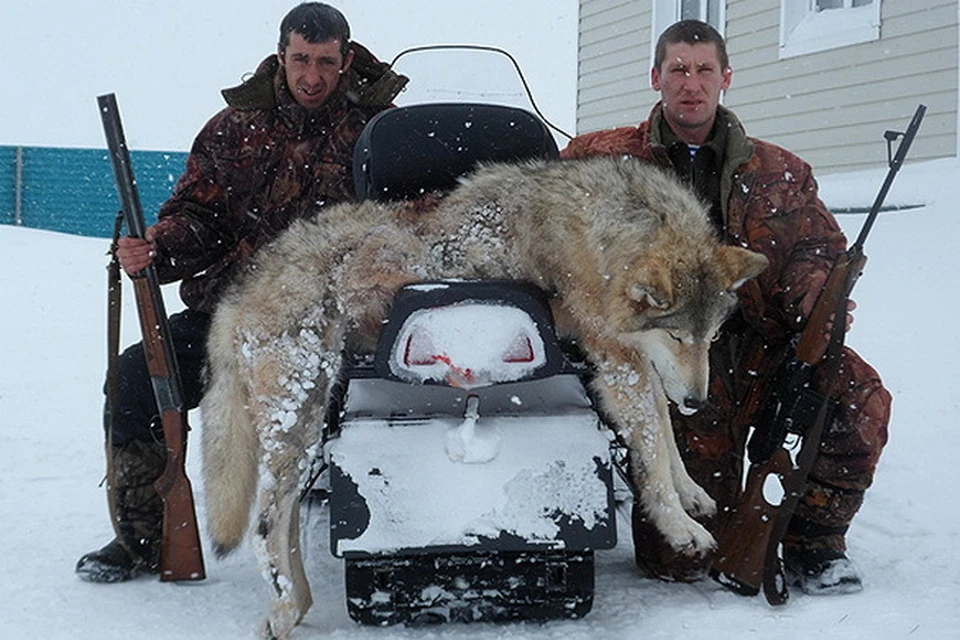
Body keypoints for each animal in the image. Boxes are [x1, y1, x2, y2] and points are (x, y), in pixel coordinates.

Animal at [201, 154, 764, 636]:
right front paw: (679, 526)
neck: (607, 229)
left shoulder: (634, 360)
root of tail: (239, 287)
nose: (698, 402)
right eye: (677, 336)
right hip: (300, 415)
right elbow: (651, 446)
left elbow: (663, 431)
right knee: (265, 523)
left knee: (287, 520)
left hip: (309, 425)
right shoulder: (616, 359)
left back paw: (296, 605)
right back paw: (283, 609)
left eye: (711, 337)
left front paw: (690, 491)